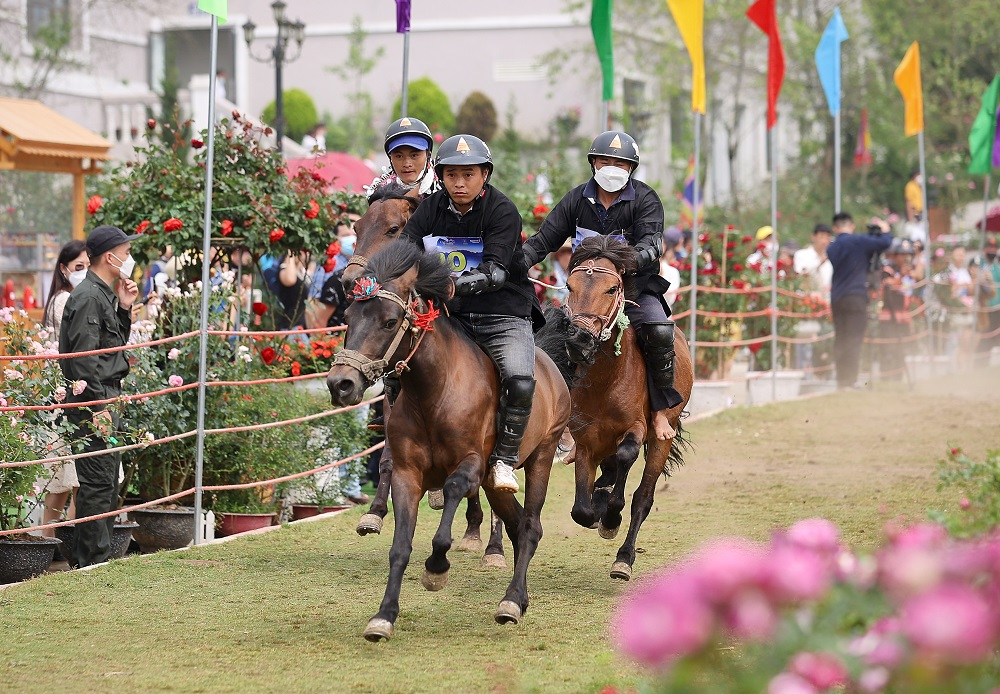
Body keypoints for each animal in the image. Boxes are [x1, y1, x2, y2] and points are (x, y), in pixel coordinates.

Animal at [328, 243, 576, 640]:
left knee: (531, 526)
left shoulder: (471, 465)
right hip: (494, 484)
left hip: (540, 456)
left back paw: (510, 601)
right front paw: (383, 616)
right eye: (349, 317)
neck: (434, 392)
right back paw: (518, 597)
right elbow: (400, 546)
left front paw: (436, 569)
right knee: (516, 525)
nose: (341, 384)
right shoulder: (407, 475)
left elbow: (450, 506)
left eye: (389, 321)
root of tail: (549, 363)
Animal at [342, 185, 508, 564]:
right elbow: (389, 460)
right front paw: (374, 513)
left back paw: (492, 544)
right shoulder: (395, 410)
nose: (349, 281)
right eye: (356, 228)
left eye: (392, 229)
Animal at [540, 237, 696, 584]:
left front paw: (611, 516)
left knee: (643, 496)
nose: (580, 339)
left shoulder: (634, 429)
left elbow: (627, 458)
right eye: (568, 285)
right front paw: (598, 508)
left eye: (612, 288)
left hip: (662, 438)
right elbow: (581, 509)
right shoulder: (586, 441)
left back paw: (623, 557)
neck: (605, 379)